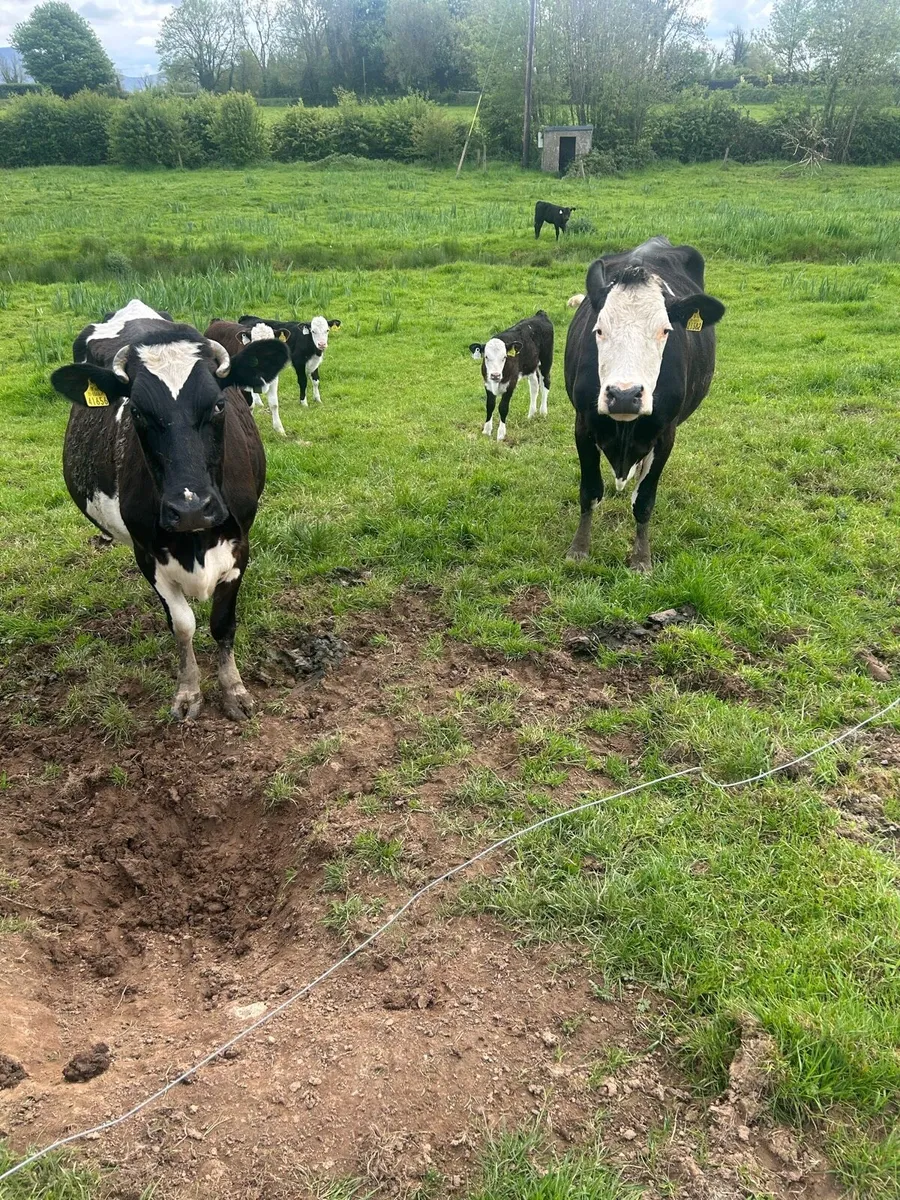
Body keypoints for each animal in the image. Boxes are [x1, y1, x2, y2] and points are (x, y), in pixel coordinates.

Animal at [51, 298, 289, 721]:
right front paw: (189, 691)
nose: (190, 508)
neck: (196, 541)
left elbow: (222, 623)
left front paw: (234, 689)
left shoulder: (241, 543)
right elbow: (183, 625)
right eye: (137, 411)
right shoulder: (146, 553)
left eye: (218, 404)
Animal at [468, 311, 554, 441]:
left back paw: (543, 412)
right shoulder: (487, 384)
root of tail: (540, 314)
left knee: (546, 384)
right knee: (534, 387)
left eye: (504, 357)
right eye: (486, 357)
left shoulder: (511, 384)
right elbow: (490, 405)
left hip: (546, 361)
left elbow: (503, 408)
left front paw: (501, 434)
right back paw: (531, 414)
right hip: (531, 366)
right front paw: (486, 430)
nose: (495, 375)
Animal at [564, 237, 725, 570]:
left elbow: (644, 501)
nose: (625, 394)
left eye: (665, 330)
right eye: (599, 329)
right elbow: (589, 492)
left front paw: (641, 558)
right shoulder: (582, 425)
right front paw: (579, 549)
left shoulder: (666, 434)